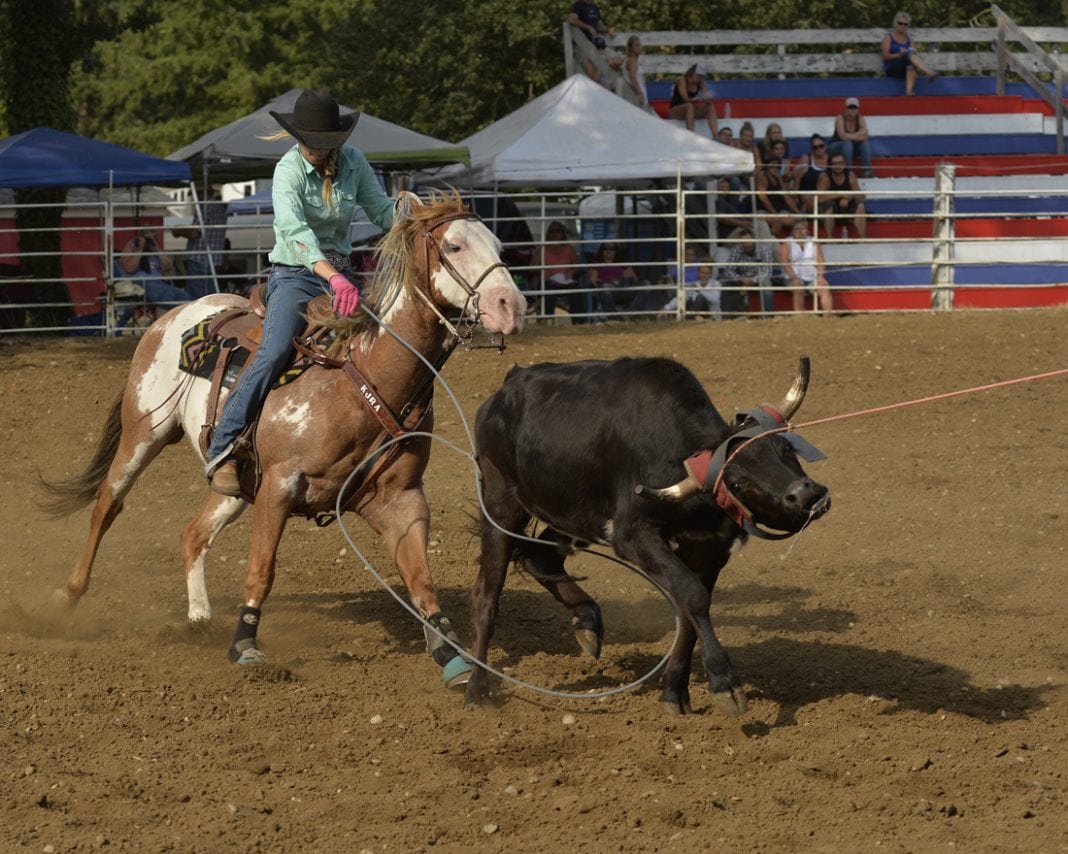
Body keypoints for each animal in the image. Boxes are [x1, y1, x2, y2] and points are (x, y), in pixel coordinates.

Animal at [41, 193, 525, 687]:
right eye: (453, 246)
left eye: (499, 244)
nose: (512, 305)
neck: (363, 376)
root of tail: (173, 316)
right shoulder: (279, 485)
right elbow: (261, 571)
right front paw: (245, 646)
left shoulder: (402, 499)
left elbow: (421, 581)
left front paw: (454, 658)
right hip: (144, 433)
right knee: (107, 503)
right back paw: (68, 598)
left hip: (235, 485)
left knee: (193, 534)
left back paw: (199, 617)